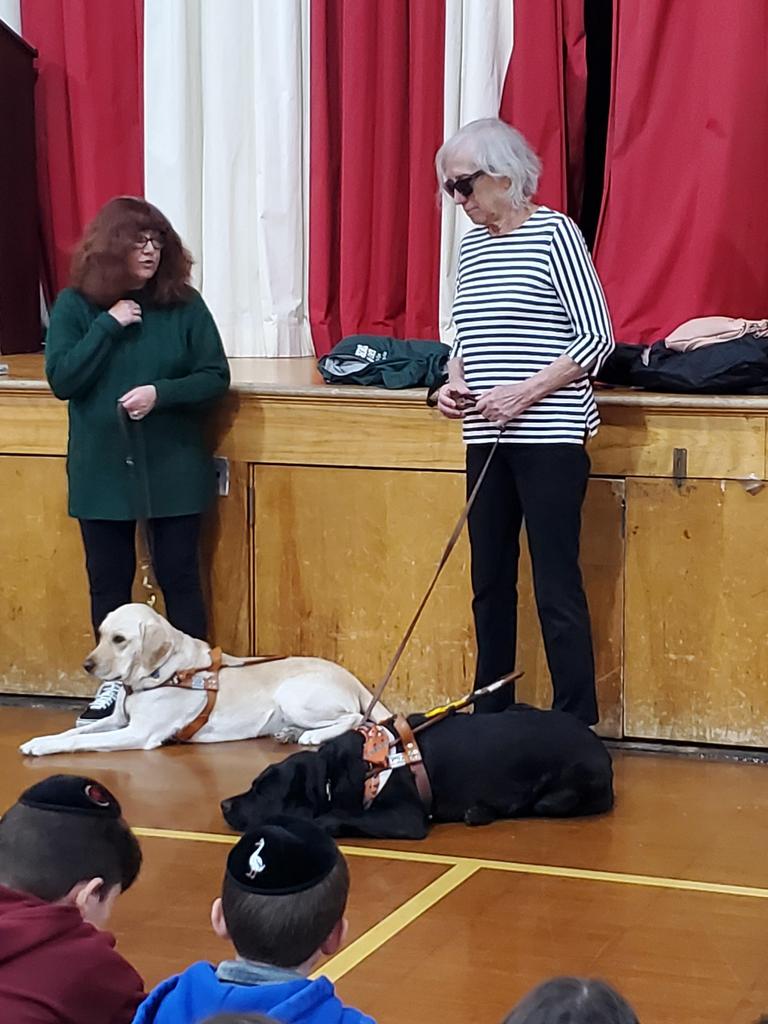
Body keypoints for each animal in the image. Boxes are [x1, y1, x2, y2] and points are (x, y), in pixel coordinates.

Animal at [20, 604, 388, 757]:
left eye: (120, 639)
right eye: (101, 634)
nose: (87, 665)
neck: (163, 673)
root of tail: (350, 677)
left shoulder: (137, 732)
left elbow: (79, 740)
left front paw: (44, 747)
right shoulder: (117, 720)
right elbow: (75, 732)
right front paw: (39, 740)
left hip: (293, 694)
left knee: (356, 718)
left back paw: (312, 736)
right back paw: (290, 732)